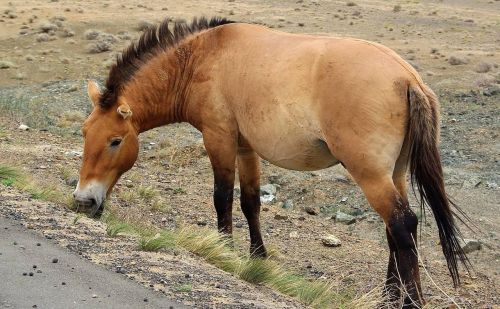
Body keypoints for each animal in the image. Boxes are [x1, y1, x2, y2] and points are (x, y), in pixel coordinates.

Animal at [72, 16, 470, 306]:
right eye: (84, 132)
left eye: (115, 141)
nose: (83, 201)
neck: (202, 58)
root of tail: (407, 77)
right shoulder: (246, 148)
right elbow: (250, 202)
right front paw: (257, 258)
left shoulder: (218, 139)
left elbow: (222, 198)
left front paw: (223, 251)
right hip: (394, 173)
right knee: (397, 230)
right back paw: (389, 295)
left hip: (370, 174)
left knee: (402, 224)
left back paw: (410, 301)